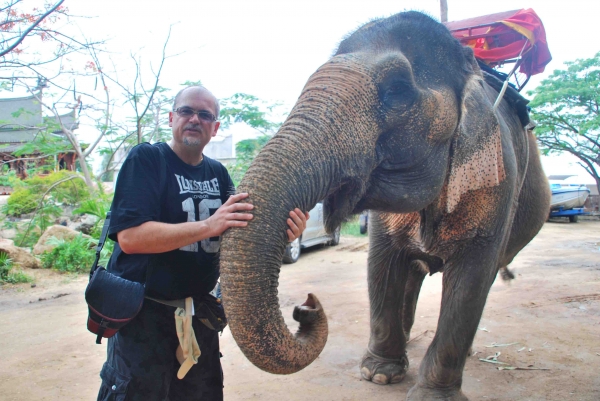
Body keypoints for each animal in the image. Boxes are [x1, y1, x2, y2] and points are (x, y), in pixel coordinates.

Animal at [219, 10, 548, 398]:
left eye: (397, 91)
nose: (306, 305)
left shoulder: (496, 180)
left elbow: (471, 280)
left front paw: (432, 396)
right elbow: (382, 263)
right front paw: (378, 375)